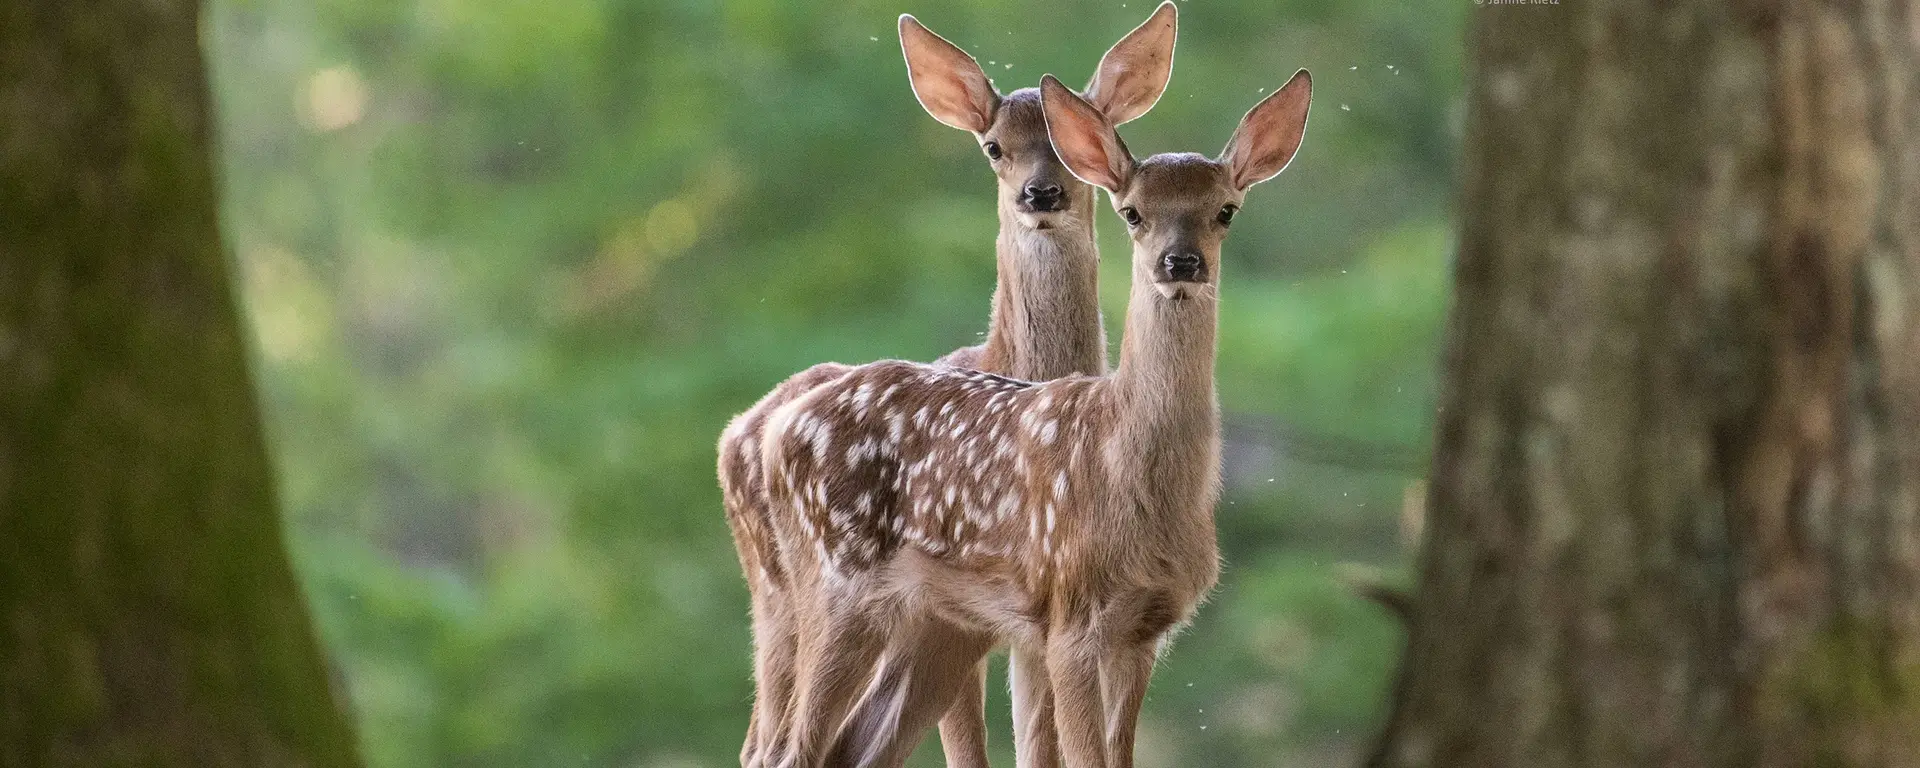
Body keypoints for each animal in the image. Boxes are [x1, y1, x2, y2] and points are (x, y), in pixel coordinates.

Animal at [718, 7, 1175, 768]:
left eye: (1085, 140)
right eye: (994, 147)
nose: (1040, 194)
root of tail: (736, 433)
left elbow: (1037, 747)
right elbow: (973, 750)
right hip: (787, 595)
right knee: (774, 740)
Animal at [756, 69, 1313, 764]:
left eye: (1225, 210)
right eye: (1133, 212)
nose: (1181, 263)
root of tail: (777, 427)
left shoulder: (1145, 631)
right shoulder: (1070, 615)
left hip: (932, 622)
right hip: (835, 584)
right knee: (788, 748)